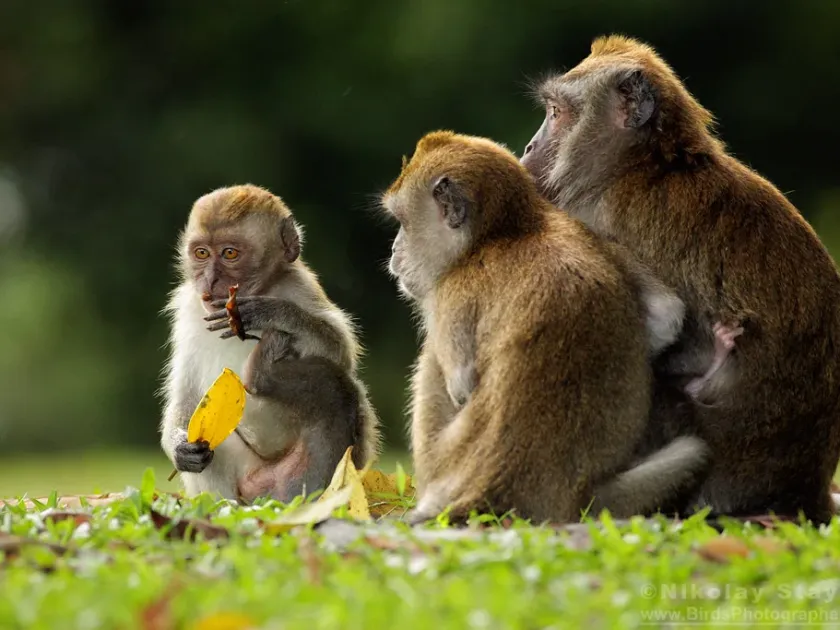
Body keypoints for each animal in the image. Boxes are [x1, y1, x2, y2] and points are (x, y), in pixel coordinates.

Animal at [159, 184, 380, 503]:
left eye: (230, 253)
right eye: (201, 253)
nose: (209, 280)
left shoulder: (299, 287)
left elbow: (341, 351)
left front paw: (271, 313)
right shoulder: (188, 310)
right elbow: (186, 399)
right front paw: (179, 446)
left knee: (340, 389)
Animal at [383, 130, 710, 524]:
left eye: (402, 222)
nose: (394, 251)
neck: (509, 231)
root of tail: (493, 486)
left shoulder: (452, 292)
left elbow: (461, 384)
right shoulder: (582, 228)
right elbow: (666, 316)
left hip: (445, 461)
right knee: (694, 451)